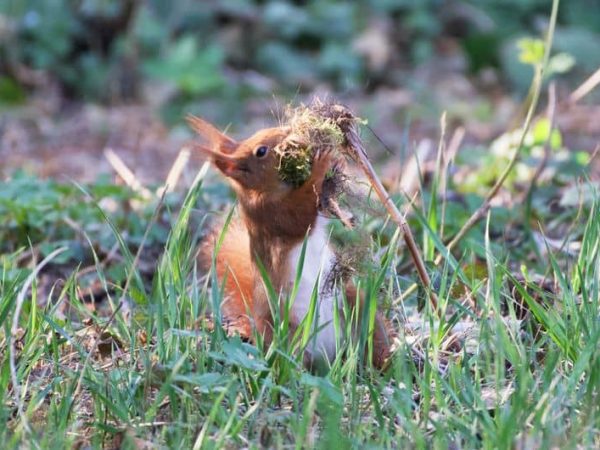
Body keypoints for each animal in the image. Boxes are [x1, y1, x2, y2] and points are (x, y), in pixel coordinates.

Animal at [189, 116, 394, 370]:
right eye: (261, 151)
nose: (288, 131)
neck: (263, 189)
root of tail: (330, 356)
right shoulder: (271, 214)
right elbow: (299, 216)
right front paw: (320, 164)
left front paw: (335, 161)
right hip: (287, 327)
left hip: (356, 303)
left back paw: (385, 361)